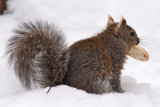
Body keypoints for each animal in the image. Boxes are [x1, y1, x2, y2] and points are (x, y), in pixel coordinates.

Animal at [6, 15, 140, 94]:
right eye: (132, 33)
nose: (139, 40)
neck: (113, 41)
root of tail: (62, 84)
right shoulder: (114, 63)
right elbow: (115, 80)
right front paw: (122, 92)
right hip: (96, 79)